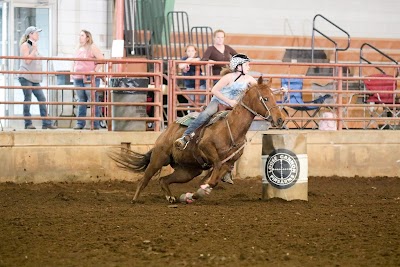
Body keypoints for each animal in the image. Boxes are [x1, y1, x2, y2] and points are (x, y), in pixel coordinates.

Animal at [108, 76, 286, 204]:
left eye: (274, 96)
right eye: (265, 98)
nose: (280, 120)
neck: (231, 128)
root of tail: (167, 132)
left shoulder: (229, 162)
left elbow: (214, 180)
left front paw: (196, 194)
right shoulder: (206, 148)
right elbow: (216, 166)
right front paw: (198, 191)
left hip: (188, 171)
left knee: (164, 179)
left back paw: (171, 198)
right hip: (159, 158)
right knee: (145, 179)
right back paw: (135, 199)